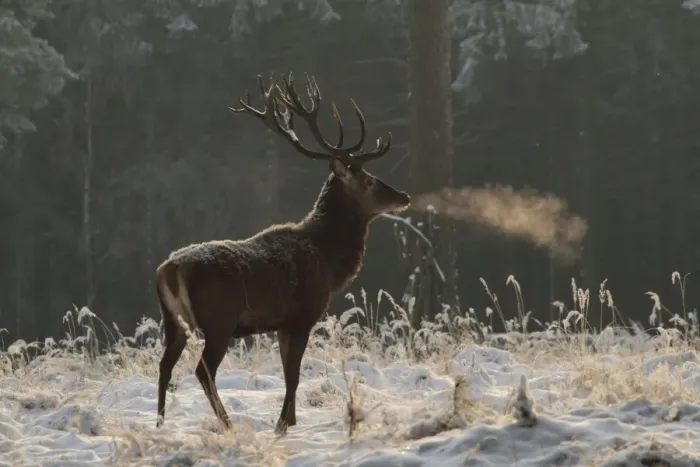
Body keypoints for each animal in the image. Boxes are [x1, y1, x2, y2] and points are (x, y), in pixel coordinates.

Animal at [154, 72, 410, 435]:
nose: (404, 196)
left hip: (172, 321)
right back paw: (228, 424)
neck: (329, 261)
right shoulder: (303, 315)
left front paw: (288, 420)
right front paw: (284, 424)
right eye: (371, 180)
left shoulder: (282, 323)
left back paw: (160, 422)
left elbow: (290, 372)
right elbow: (293, 375)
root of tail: (170, 270)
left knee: (164, 366)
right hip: (219, 320)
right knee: (203, 370)